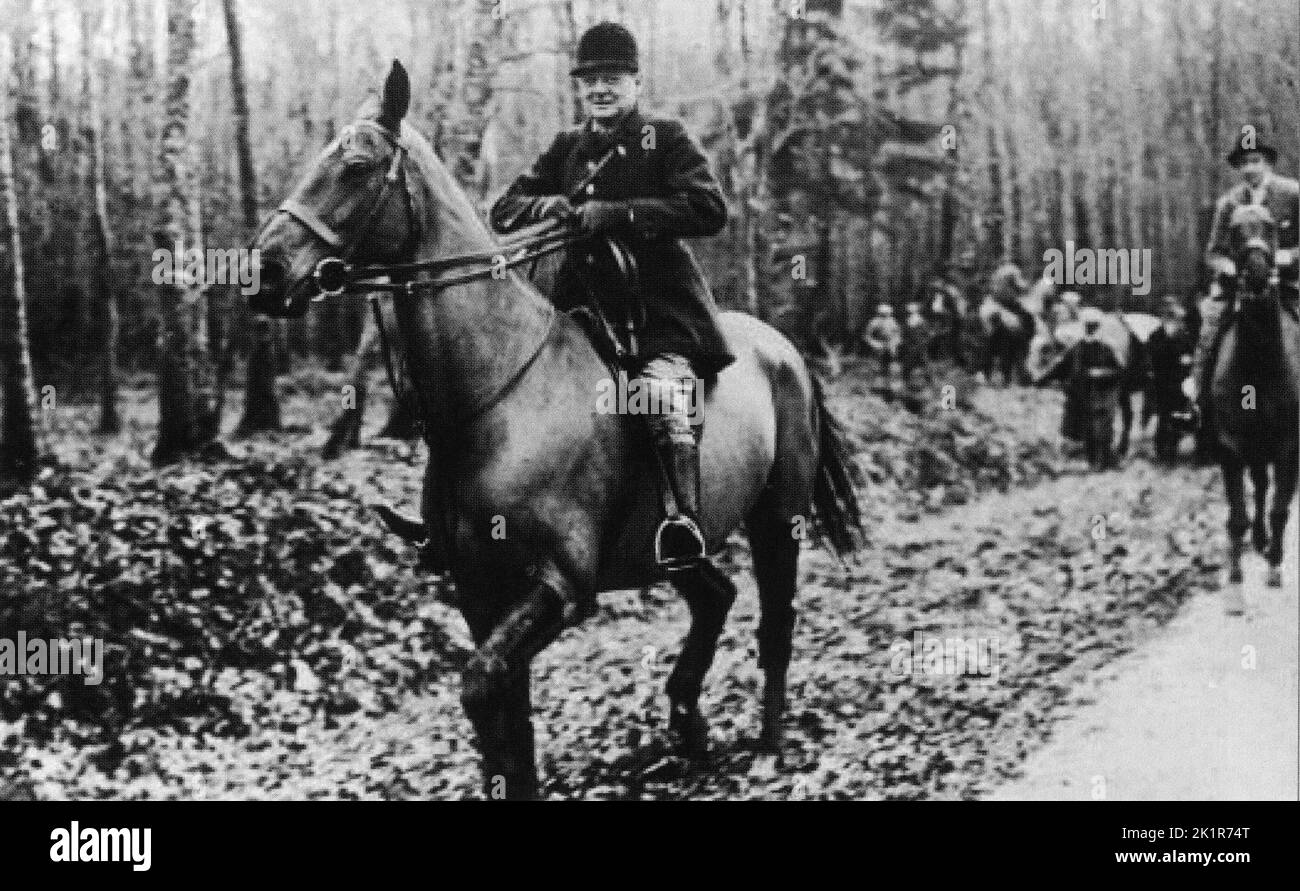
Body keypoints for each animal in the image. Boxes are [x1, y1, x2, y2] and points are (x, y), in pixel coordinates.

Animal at [249, 62, 868, 801]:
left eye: (357, 166)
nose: (265, 271)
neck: (498, 396)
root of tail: (785, 349)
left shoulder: (560, 587)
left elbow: (482, 689)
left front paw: (589, 214)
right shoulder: (478, 589)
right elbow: (506, 718)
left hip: (779, 519)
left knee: (776, 621)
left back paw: (769, 745)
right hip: (675, 551)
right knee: (716, 597)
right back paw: (688, 725)